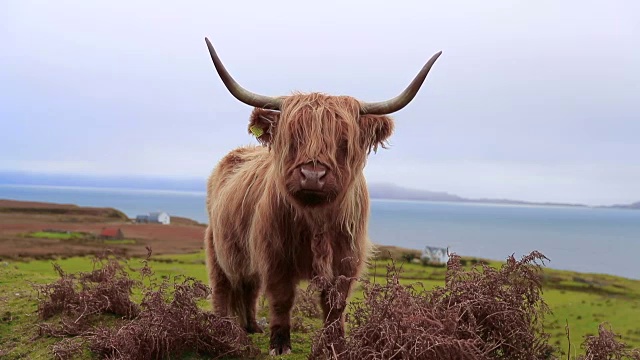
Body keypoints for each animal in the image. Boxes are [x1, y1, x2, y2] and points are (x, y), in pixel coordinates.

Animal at [202, 37, 442, 354]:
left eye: (343, 140)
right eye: (293, 137)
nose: (312, 175)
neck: (316, 220)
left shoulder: (346, 259)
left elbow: (334, 306)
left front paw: (335, 344)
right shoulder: (274, 256)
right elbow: (281, 299)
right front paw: (280, 344)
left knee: (248, 287)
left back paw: (251, 327)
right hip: (216, 247)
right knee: (223, 287)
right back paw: (223, 329)